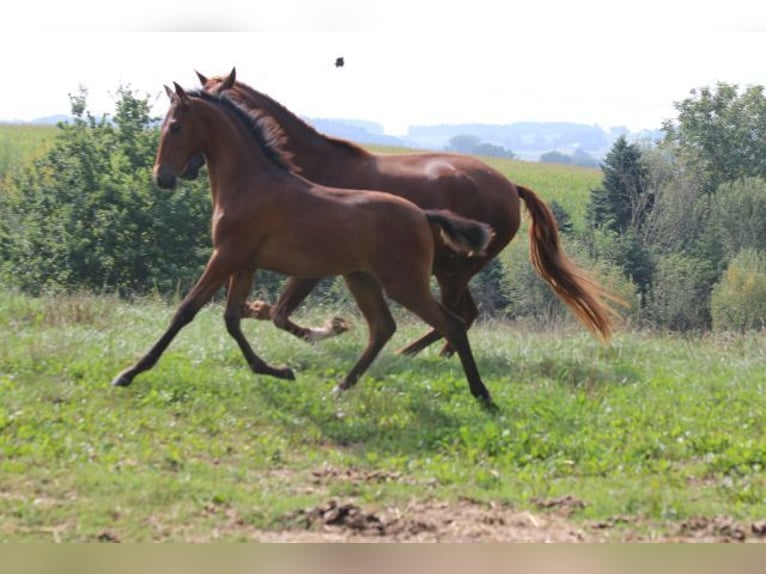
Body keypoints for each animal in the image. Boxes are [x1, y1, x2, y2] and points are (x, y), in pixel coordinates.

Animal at [112, 84, 498, 410]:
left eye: (176, 126)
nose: (162, 178)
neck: (250, 184)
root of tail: (421, 213)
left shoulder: (226, 256)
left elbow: (187, 311)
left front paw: (129, 373)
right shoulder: (245, 263)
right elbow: (233, 318)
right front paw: (279, 370)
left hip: (405, 284)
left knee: (452, 324)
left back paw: (483, 395)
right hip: (361, 279)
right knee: (383, 328)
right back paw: (341, 387)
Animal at [196, 67, 624, 356]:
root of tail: (509, 185)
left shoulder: (313, 265)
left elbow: (281, 314)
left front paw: (330, 329)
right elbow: (265, 310)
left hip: (453, 269)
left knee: (456, 315)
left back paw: (418, 354)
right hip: (451, 268)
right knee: (464, 314)